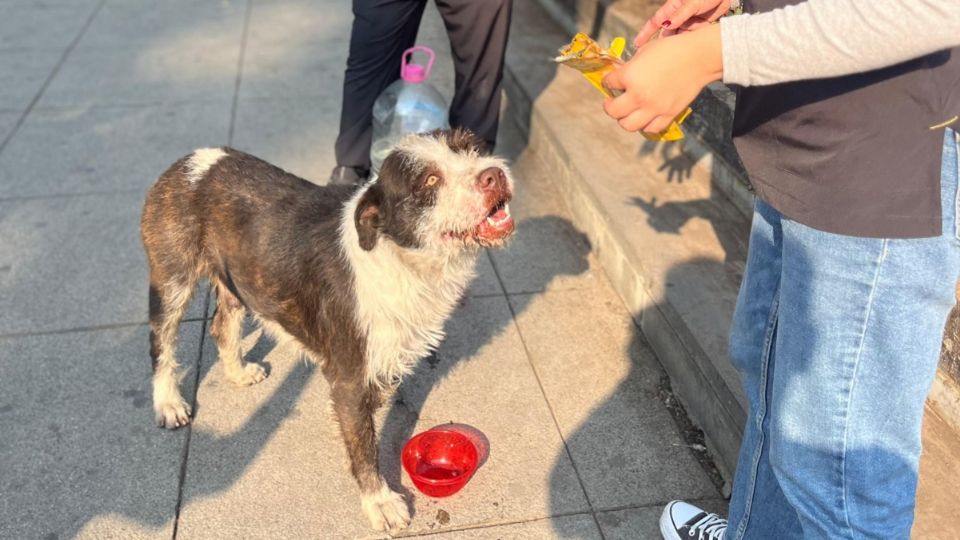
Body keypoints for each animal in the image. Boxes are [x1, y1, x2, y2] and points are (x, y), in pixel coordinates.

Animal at [140, 129, 512, 528]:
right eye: (429, 180)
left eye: (472, 147)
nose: (493, 175)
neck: (400, 259)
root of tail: (188, 161)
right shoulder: (349, 375)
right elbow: (364, 445)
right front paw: (379, 501)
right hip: (172, 279)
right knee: (160, 343)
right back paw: (167, 402)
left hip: (238, 276)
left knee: (222, 324)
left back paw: (237, 371)